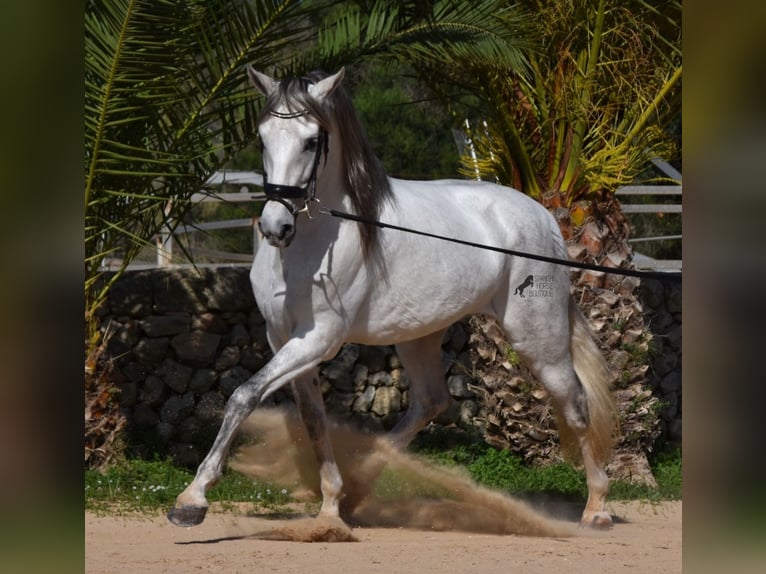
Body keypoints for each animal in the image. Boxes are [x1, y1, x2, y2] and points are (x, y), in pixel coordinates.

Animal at [170, 67, 616, 532]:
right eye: (262, 138)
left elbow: (244, 395)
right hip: (419, 335)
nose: (277, 227)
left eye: (312, 141)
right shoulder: (284, 340)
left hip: (537, 338)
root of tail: (543, 216)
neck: (315, 242)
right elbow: (313, 419)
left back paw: (597, 508)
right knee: (431, 401)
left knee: (576, 403)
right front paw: (330, 502)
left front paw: (192, 499)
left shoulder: (319, 338)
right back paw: (357, 490)